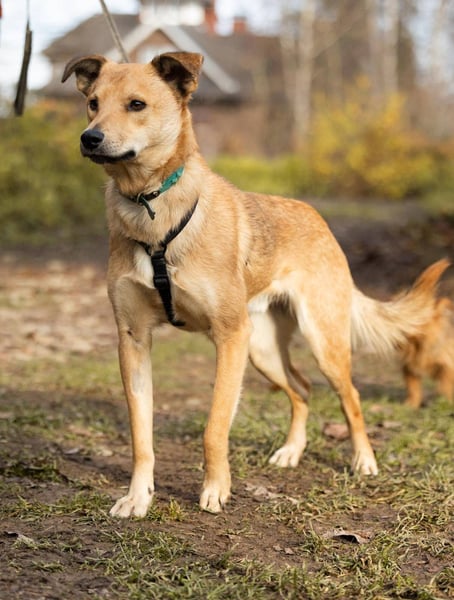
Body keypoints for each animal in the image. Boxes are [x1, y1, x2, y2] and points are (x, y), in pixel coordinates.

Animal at [62, 52, 449, 518]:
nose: (90, 138)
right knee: (302, 389)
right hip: (261, 348)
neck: (151, 206)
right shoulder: (133, 339)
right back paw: (291, 451)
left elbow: (214, 427)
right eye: (93, 103)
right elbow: (141, 437)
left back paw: (364, 460)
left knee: (350, 396)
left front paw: (216, 490)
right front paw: (139, 497)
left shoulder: (229, 338)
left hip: (319, 341)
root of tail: (317, 219)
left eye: (136, 104)